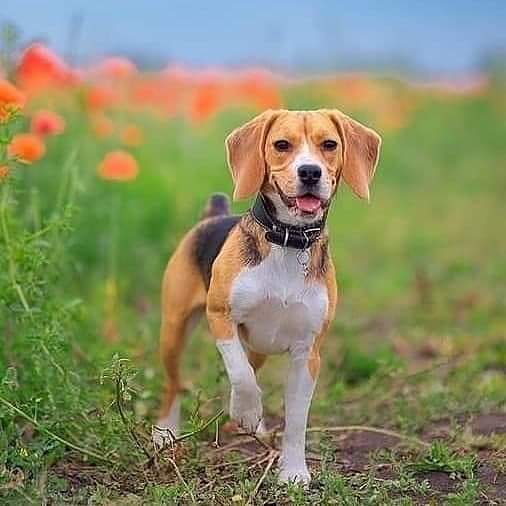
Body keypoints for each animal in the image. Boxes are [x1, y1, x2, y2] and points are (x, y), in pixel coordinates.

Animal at [154, 109, 380, 482]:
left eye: (329, 144)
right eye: (282, 145)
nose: (310, 172)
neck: (289, 240)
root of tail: (214, 215)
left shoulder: (308, 353)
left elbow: (296, 420)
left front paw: (293, 472)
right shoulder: (221, 317)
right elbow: (241, 375)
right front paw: (244, 412)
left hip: (257, 346)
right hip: (173, 331)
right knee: (173, 384)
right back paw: (165, 432)